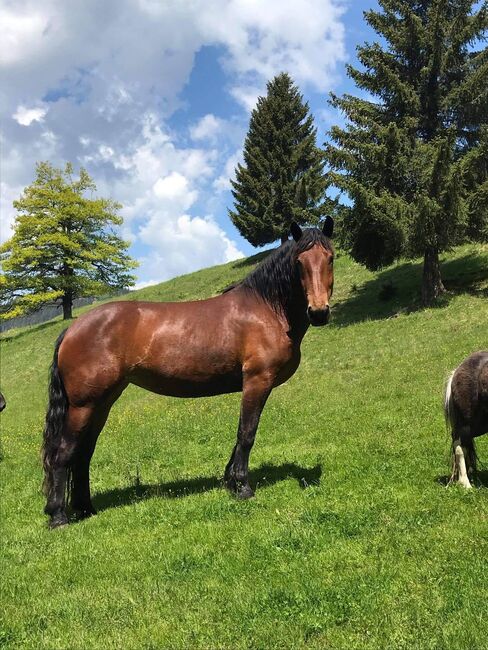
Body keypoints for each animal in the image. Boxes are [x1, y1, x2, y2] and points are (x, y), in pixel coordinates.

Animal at [42, 218, 336, 528]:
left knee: (83, 454)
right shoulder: (257, 381)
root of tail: (72, 329)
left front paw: (230, 481)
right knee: (64, 454)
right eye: (299, 262)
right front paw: (243, 487)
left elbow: (239, 435)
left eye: (330, 258)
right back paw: (59, 516)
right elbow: (247, 433)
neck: (266, 309)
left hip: (102, 403)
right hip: (83, 405)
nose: (318, 312)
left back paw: (86, 508)